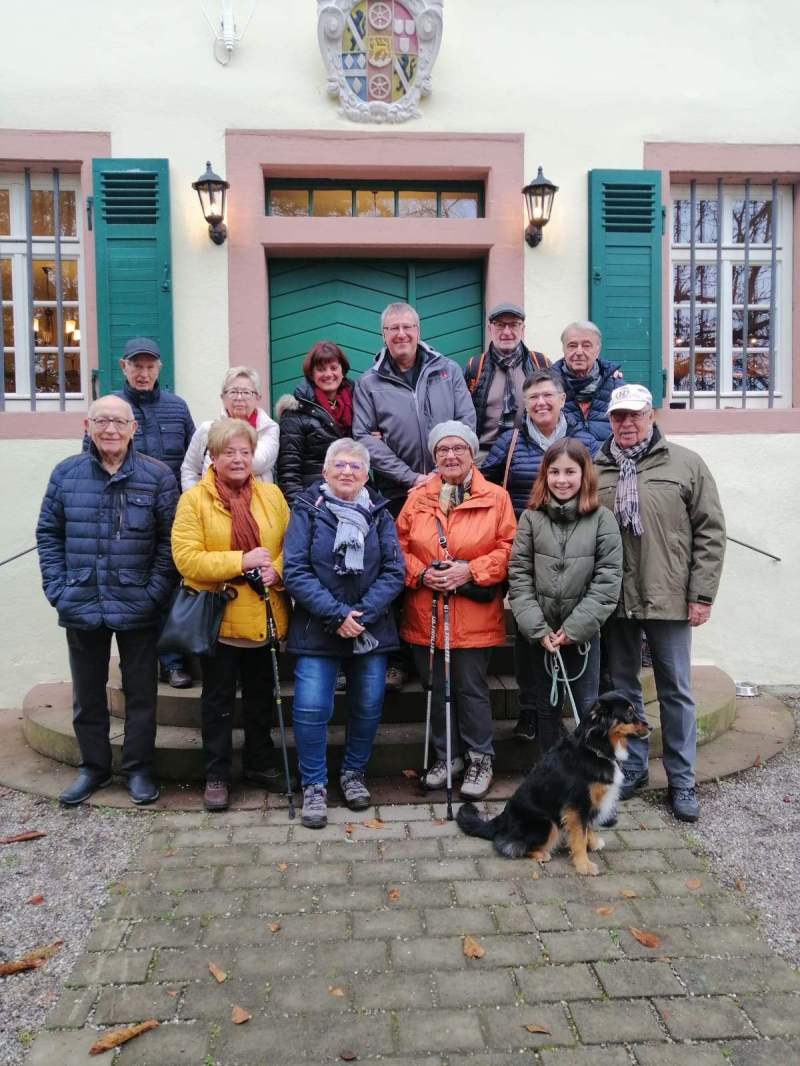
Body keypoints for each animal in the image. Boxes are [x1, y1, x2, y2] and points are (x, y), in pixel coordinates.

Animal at [456, 691, 650, 876]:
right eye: (629, 713)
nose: (651, 727)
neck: (595, 748)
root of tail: (501, 821)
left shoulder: (587, 804)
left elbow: (587, 827)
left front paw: (593, 843)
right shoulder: (577, 805)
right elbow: (579, 836)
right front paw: (584, 865)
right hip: (546, 823)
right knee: (507, 845)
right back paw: (541, 853)